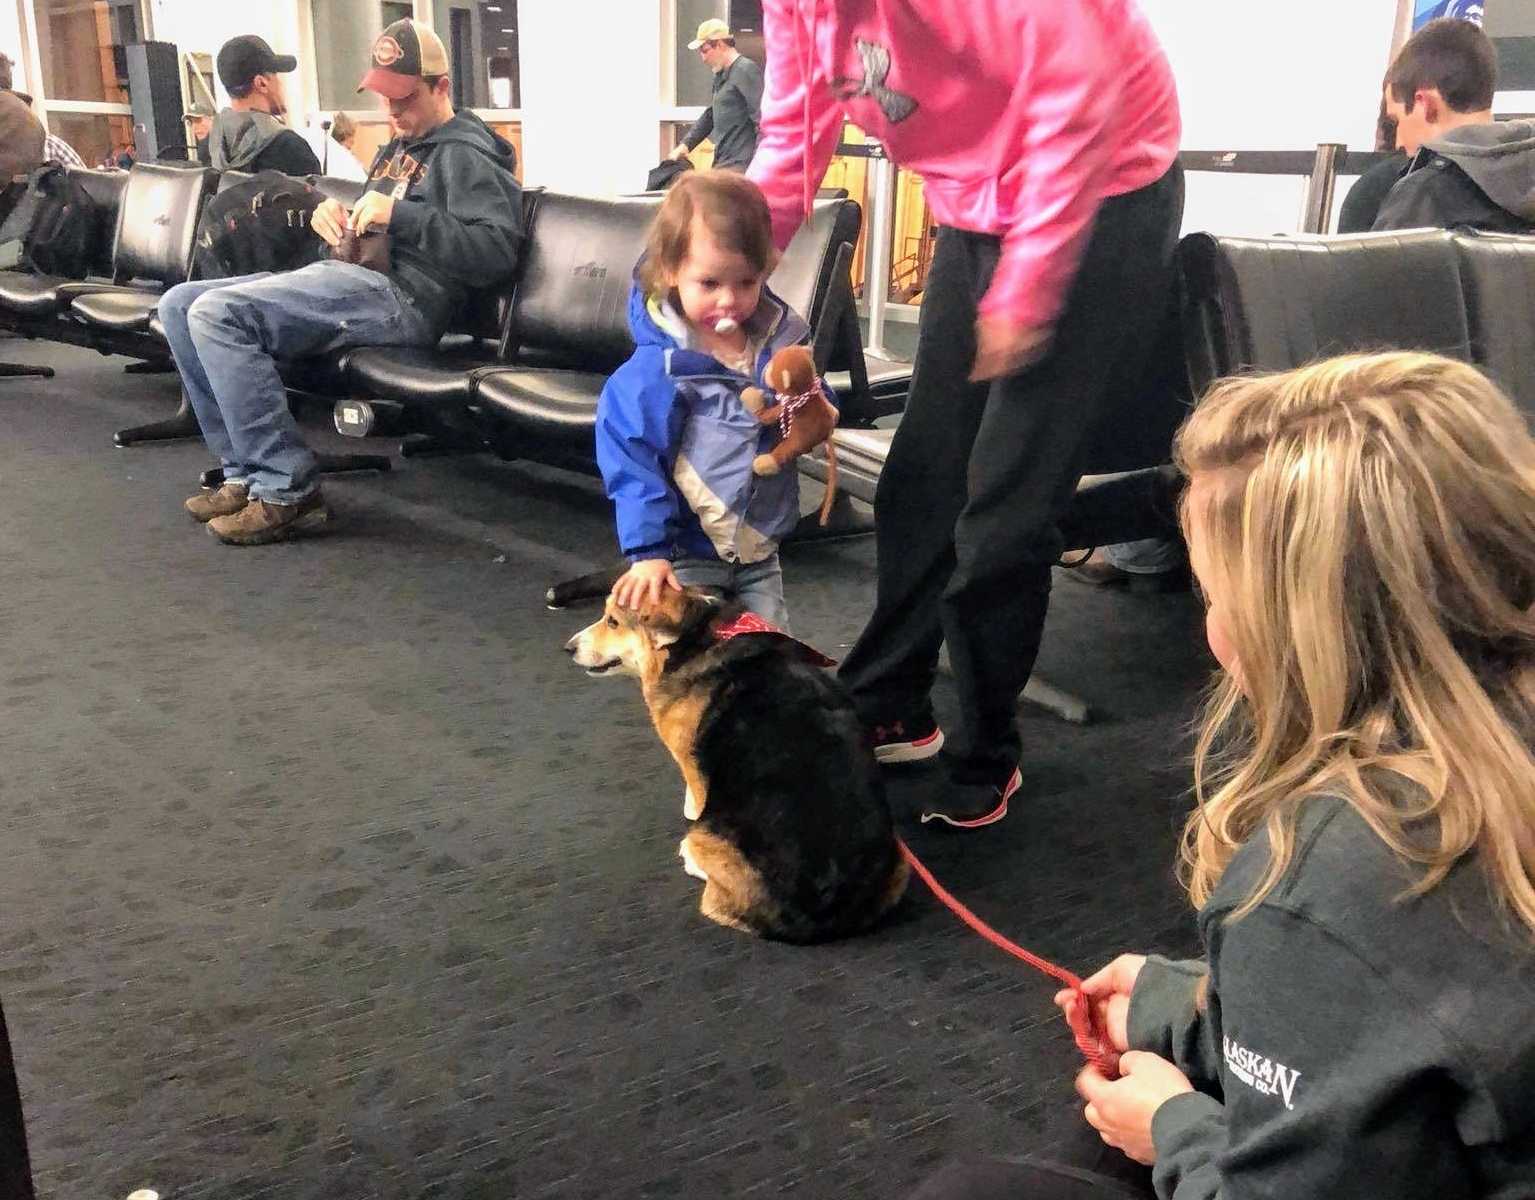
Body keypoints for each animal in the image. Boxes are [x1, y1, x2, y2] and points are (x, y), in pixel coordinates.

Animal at [574, 586, 908, 945]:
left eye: (612, 621)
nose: (569, 648)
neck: (697, 638)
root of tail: (824, 913)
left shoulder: (690, 763)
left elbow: (694, 795)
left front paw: (689, 808)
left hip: (706, 835)